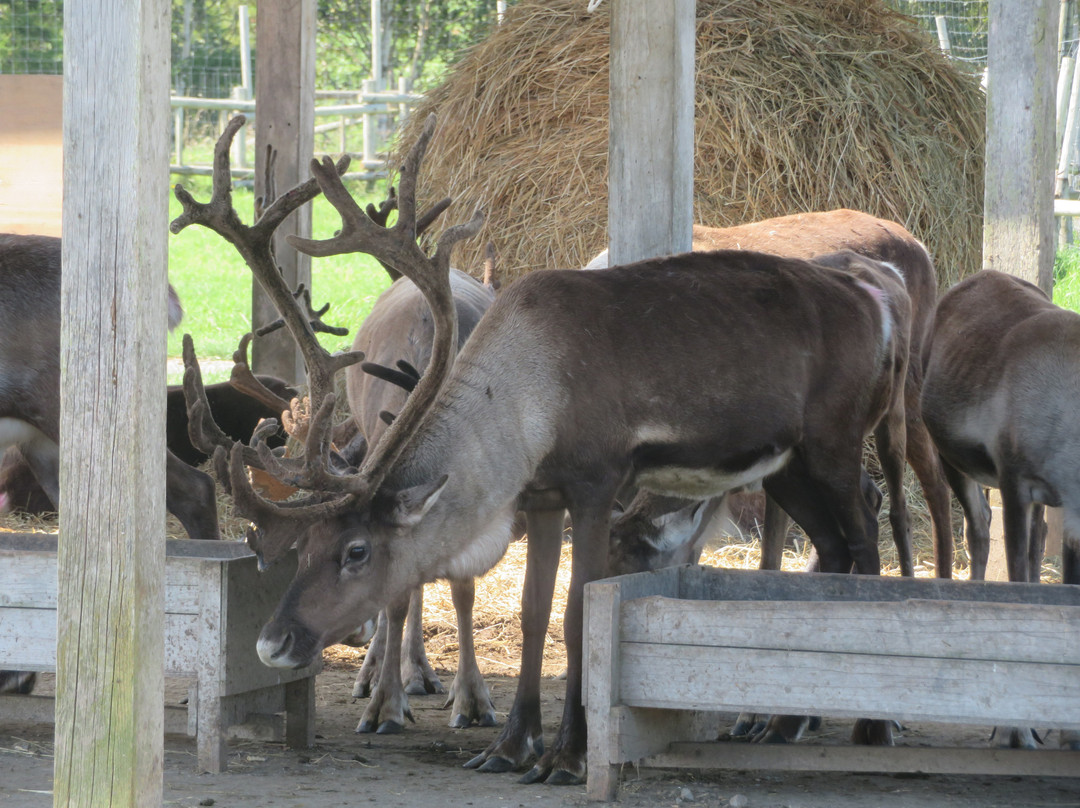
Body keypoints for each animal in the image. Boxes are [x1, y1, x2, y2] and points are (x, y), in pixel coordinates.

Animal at [176, 114, 910, 786]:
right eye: (304, 546)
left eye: (356, 551)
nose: (273, 640)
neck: (528, 406)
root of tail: (880, 301)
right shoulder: (542, 495)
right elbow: (533, 613)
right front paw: (509, 745)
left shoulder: (597, 480)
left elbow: (578, 609)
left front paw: (567, 754)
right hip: (786, 462)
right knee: (835, 547)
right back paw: (785, 722)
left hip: (836, 438)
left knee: (866, 534)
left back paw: (872, 726)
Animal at [920, 269, 1080, 751]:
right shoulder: (1014, 483)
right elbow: (1017, 584)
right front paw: (1016, 729)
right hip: (954, 460)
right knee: (978, 530)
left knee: (1032, 545)